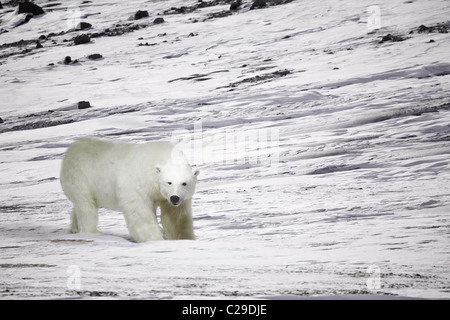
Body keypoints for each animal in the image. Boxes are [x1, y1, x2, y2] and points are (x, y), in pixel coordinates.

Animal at [59, 138, 199, 242]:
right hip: (80, 178)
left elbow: (176, 217)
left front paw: (184, 238)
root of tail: (71, 149)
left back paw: (74, 228)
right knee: (86, 205)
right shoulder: (138, 184)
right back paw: (93, 231)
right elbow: (140, 213)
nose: (174, 198)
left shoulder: (172, 198)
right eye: (169, 182)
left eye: (184, 183)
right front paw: (155, 238)